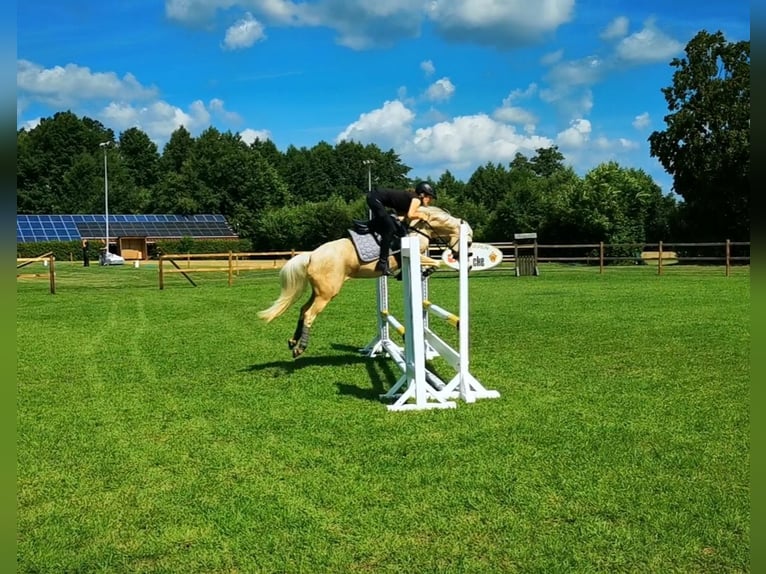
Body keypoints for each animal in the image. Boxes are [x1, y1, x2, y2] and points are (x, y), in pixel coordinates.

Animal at [260, 207, 472, 358]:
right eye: (469, 242)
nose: (468, 264)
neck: (418, 228)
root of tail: (312, 255)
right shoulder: (415, 255)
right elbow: (436, 262)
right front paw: (422, 272)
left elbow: (435, 262)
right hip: (327, 294)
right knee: (310, 314)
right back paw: (300, 348)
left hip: (318, 291)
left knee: (303, 310)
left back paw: (292, 341)